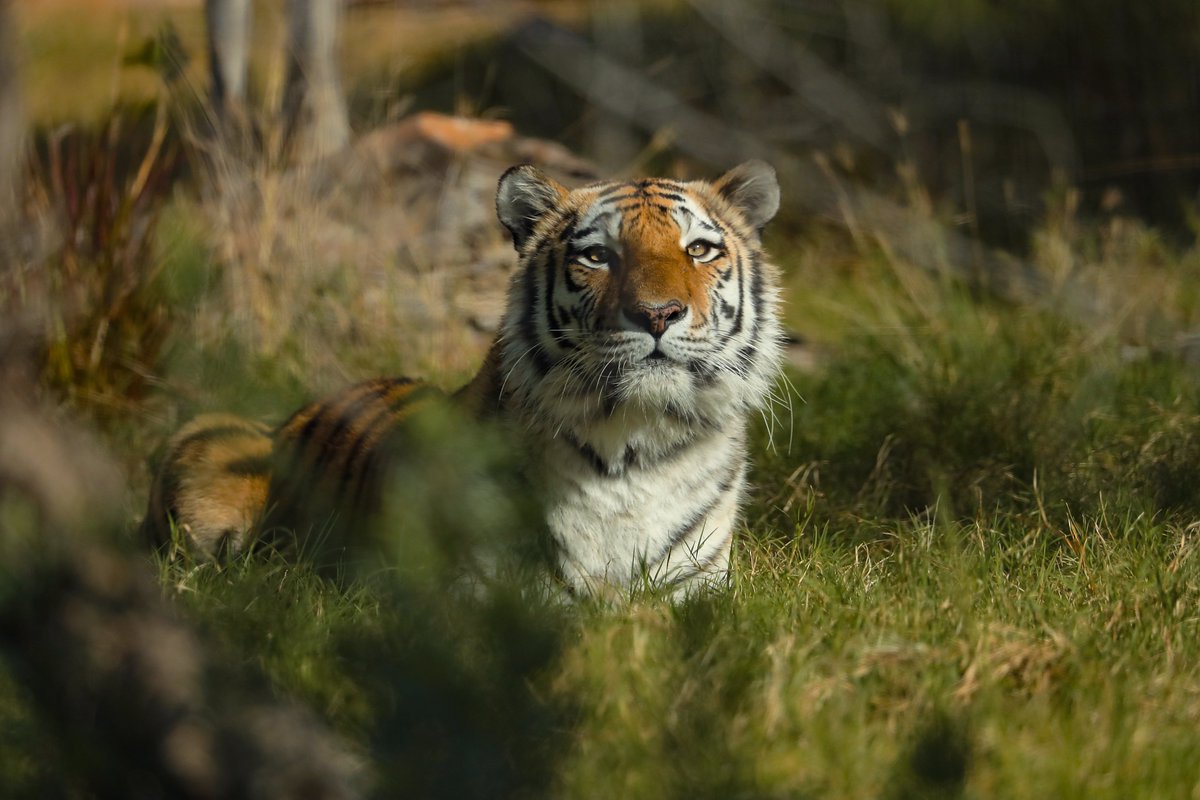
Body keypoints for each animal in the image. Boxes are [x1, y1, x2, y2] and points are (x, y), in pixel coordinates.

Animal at [142, 160, 783, 594]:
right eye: (598, 256)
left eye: (699, 249)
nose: (657, 314)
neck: (634, 445)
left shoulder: (693, 588)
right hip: (210, 441)